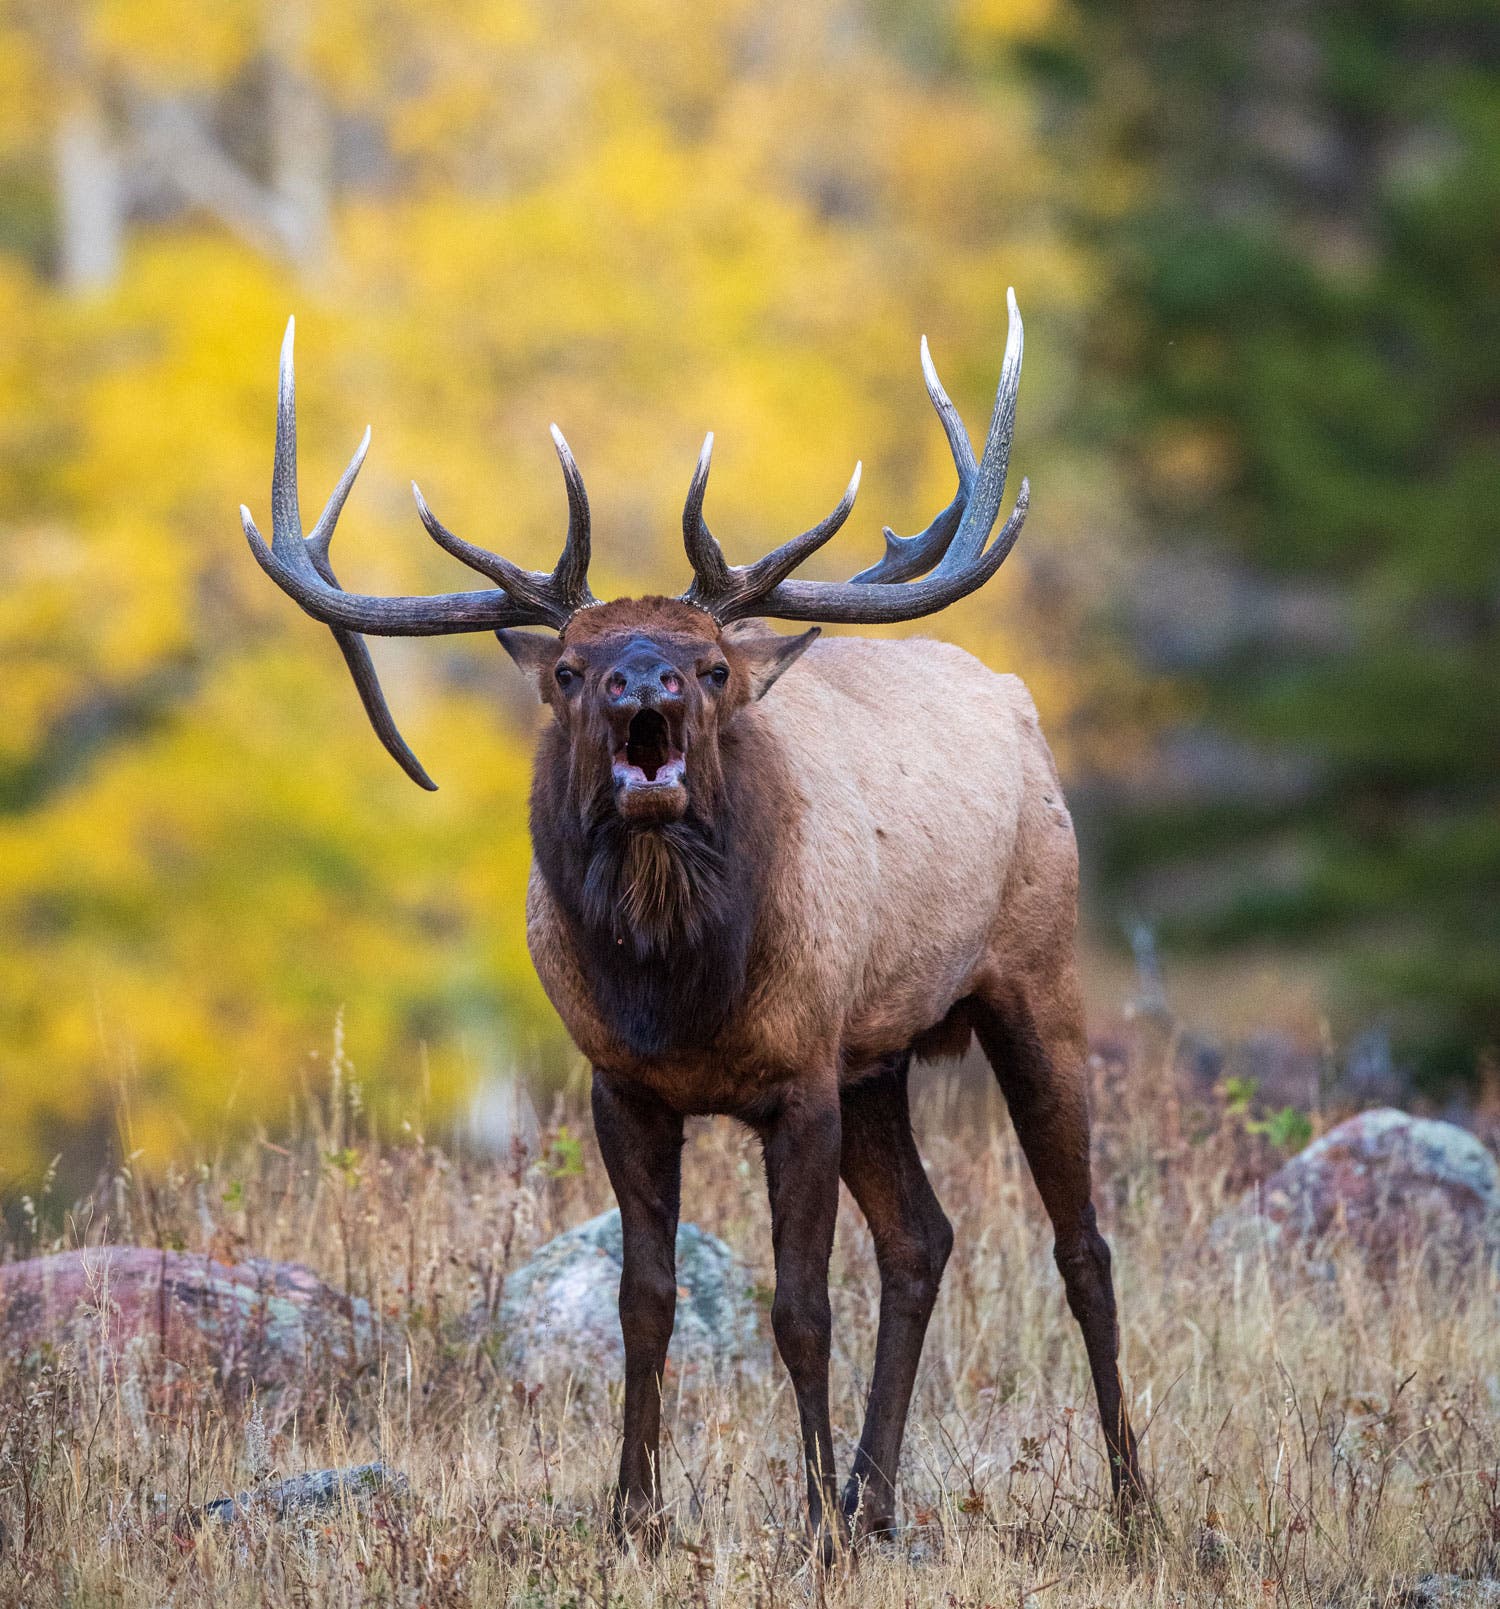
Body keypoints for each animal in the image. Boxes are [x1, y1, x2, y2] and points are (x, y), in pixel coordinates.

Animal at [241, 290, 1144, 1554]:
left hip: (1035, 976)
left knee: (1082, 1244)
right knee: (922, 1238)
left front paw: (808, 1525)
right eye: (568, 669)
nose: (645, 685)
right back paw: (878, 1499)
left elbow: (800, 1306)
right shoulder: (624, 1084)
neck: (681, 992)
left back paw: (1129, 1504)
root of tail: (1015, 698)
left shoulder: (802, 1076)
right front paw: (635, 1511)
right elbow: (645, 1300)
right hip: (879, 1056)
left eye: (711, 664)